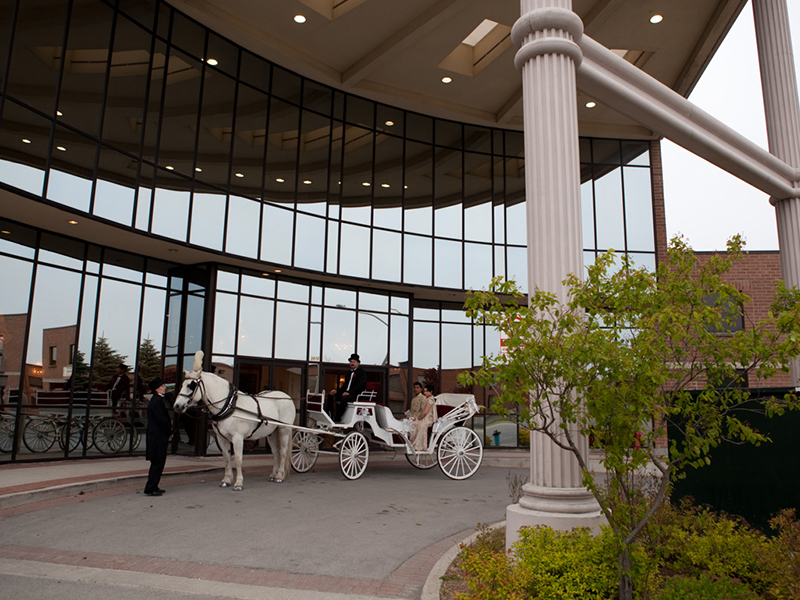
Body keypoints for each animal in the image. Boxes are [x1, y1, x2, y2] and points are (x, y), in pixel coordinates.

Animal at [174, 352, 296, 492]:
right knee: (275, 452)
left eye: (191, 386)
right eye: (182, 385)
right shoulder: (221, 438)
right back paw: (273, 474)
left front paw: (238, 483)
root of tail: (287, 397)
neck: (228, 405)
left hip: (284, 430)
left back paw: (280, 475)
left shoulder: (238, 438)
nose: (176, 406)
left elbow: (237, 460)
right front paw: (226, 480)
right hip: (271, 432)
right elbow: (226, 459)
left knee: (283, 452)